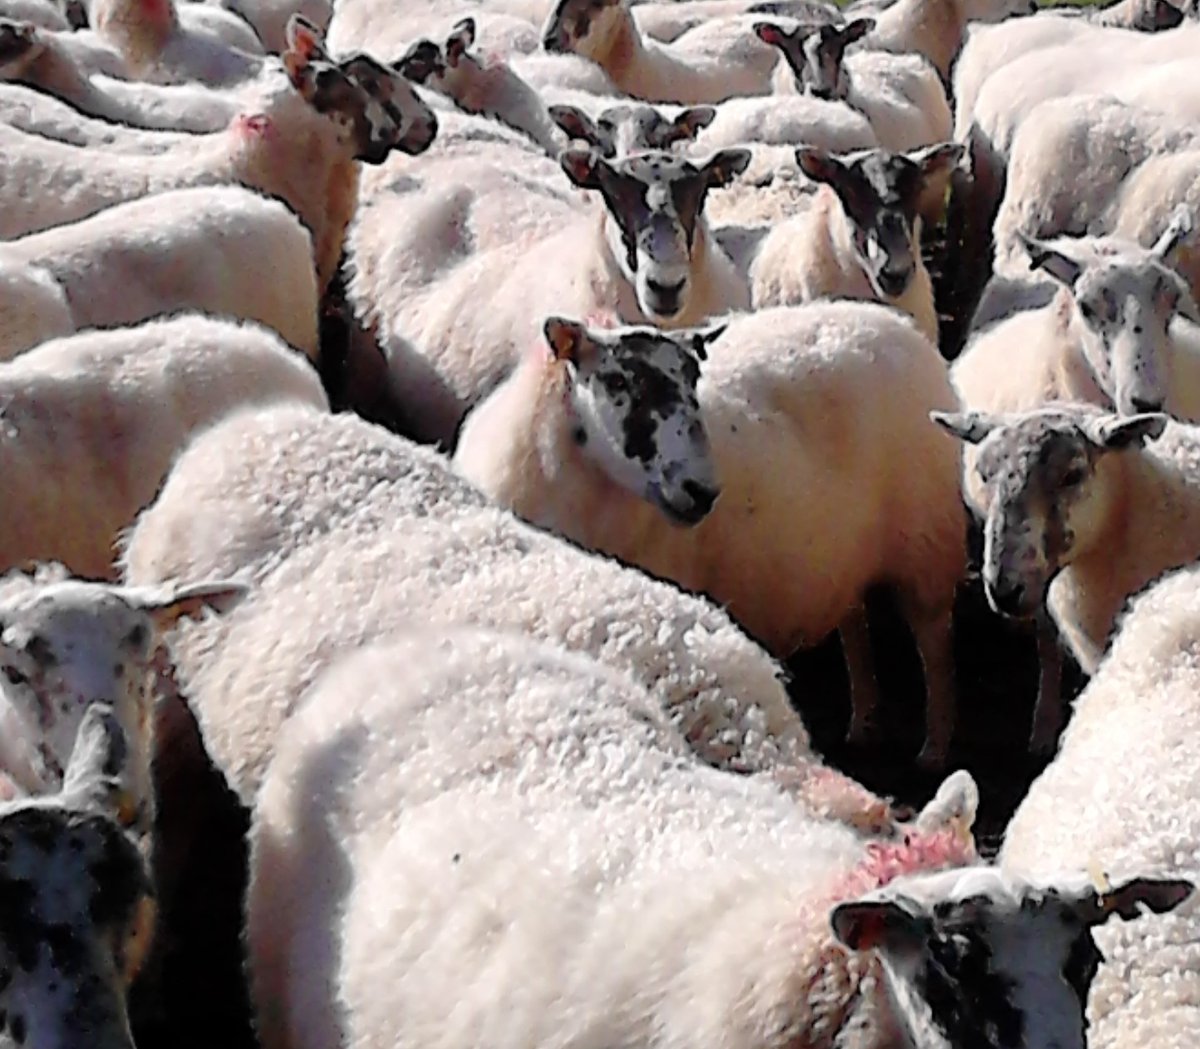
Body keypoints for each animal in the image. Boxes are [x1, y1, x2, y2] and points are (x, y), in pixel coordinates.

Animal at [453, 303, 967, 767]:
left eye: (694, 381)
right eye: (616, 381)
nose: (700, 491)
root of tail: (898, 324)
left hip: (926, 544)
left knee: (934, 645)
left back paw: (935, 749)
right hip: (847, 556)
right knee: (855, 627)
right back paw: (863, 723)